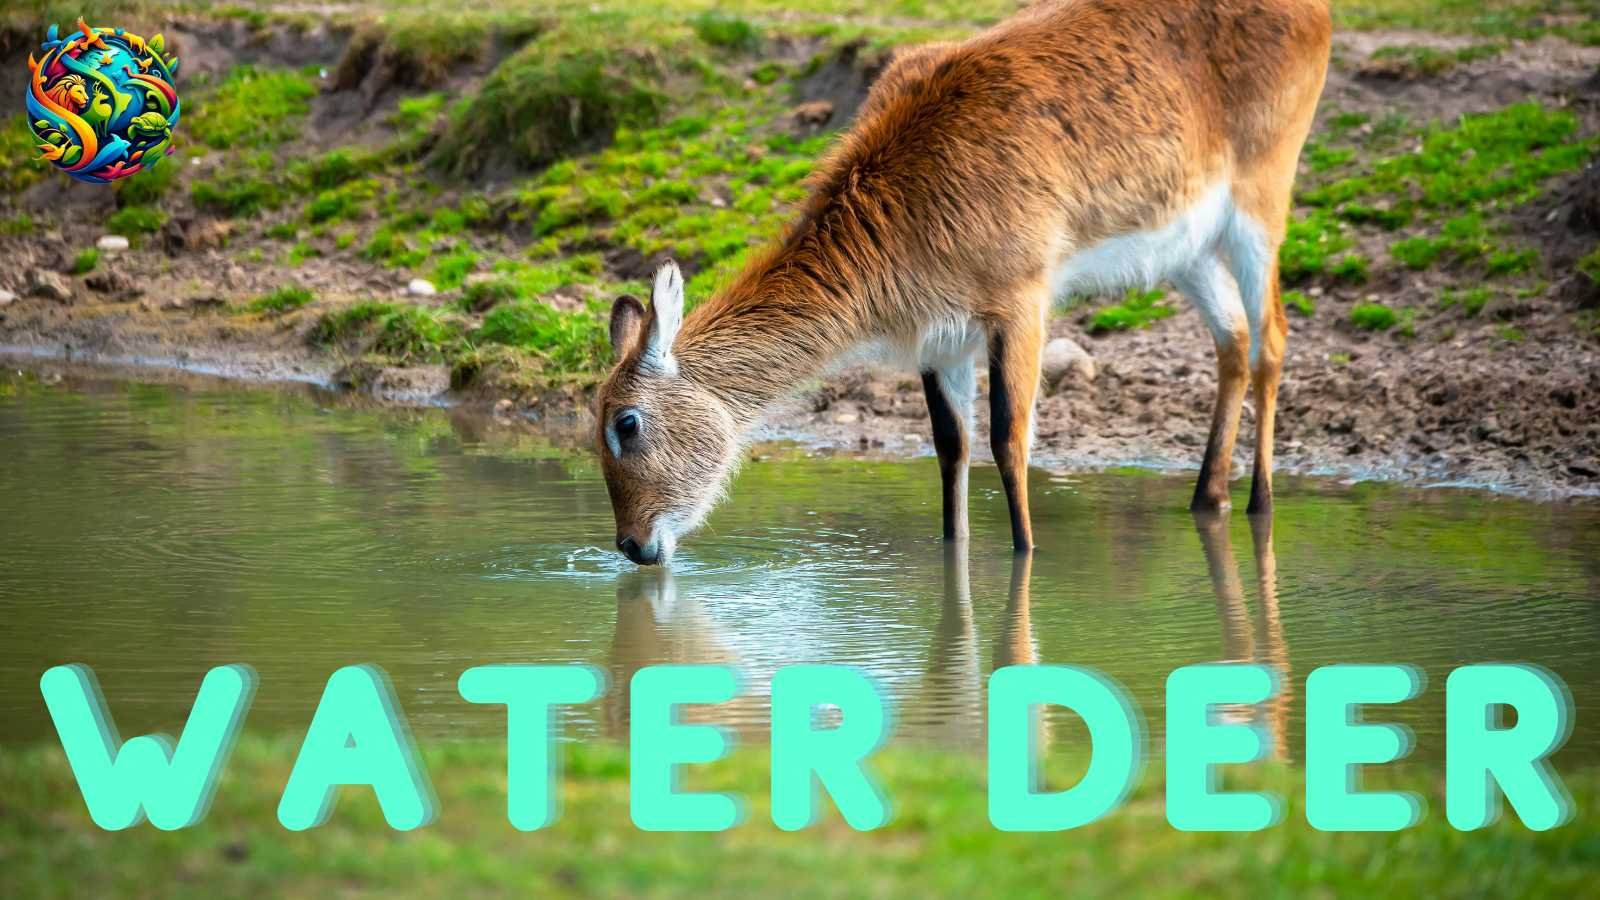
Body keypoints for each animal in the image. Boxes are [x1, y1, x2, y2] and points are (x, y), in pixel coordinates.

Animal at [597, 0, 1332, 565]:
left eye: (625, 422)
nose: (632, 545)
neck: (907, 194)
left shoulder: (1022, 304)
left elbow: (1009, 437)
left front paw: (1025, 555)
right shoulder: (940, 338)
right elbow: (952, 445)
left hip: (1261, 204)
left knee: (1272, 337)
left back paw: (1259, 501)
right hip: (1187, 249)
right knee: (1231, 340)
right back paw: (1207, 496)